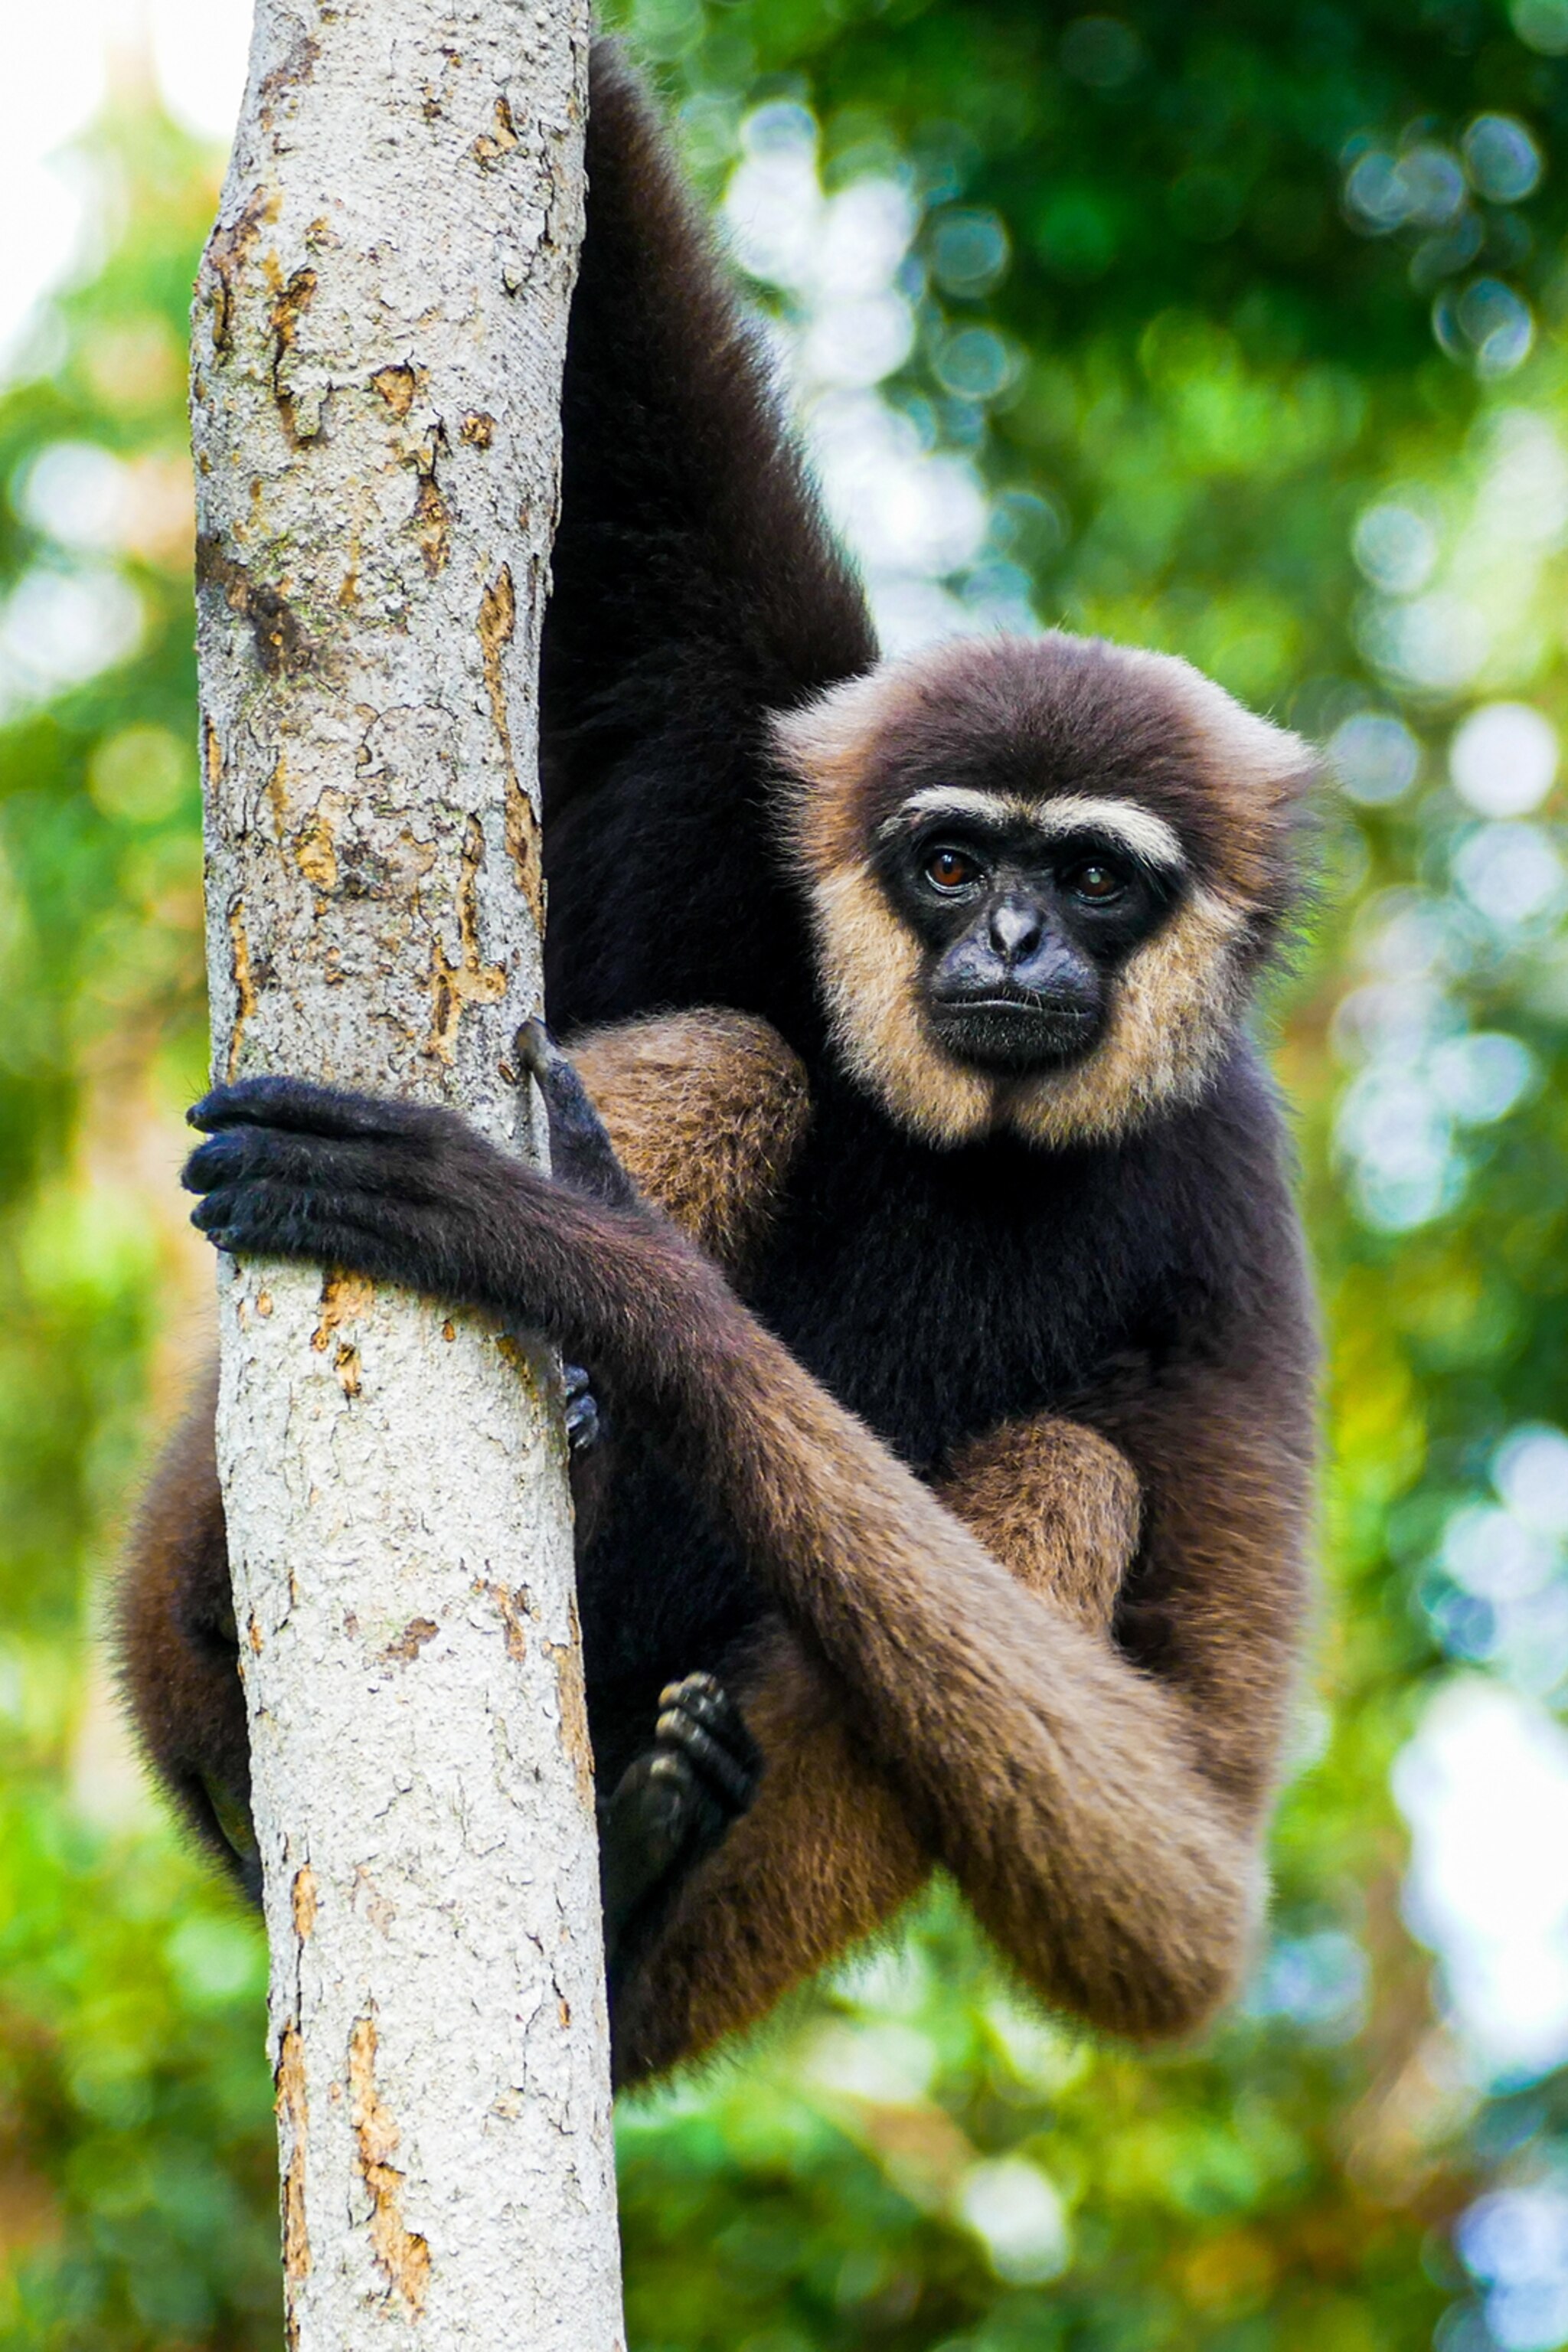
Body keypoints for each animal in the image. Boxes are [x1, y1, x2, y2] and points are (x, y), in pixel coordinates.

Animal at [115, 42, 1318, 2090]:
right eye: (950, 861)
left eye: (1091, 877)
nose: (1014, 946)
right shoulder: (712, 749)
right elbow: (638, 357)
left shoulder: (1230, 1209)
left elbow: (1180, 1887)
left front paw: (592, 1262)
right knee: (749, 1056)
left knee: (1071, 1470)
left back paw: (624, 1888)